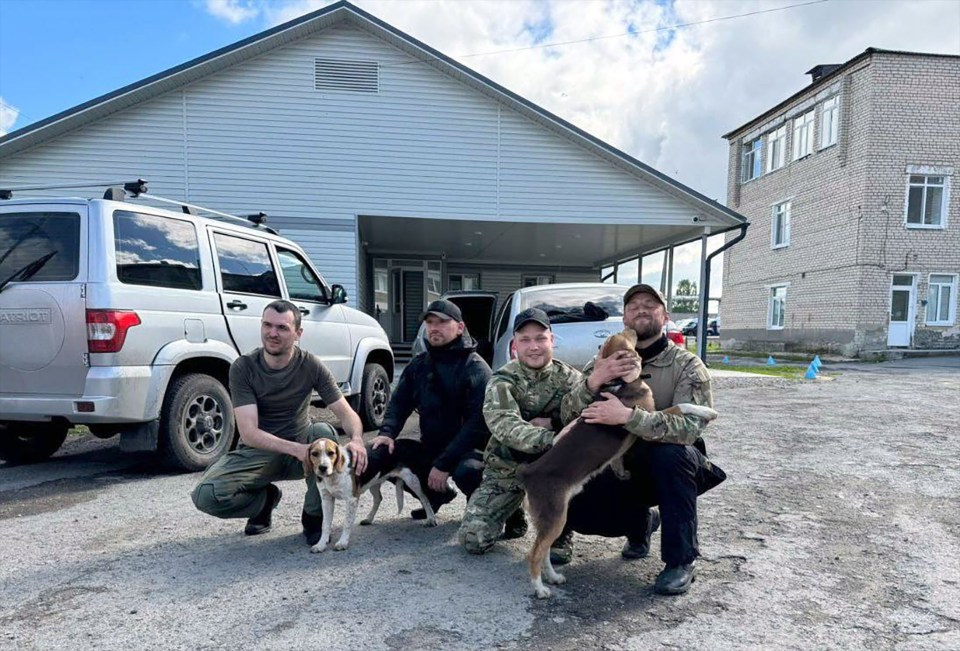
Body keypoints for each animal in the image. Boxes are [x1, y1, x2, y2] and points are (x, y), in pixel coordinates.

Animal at [516, 328, 712, 600]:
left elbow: (619, 457)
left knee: (543, 551)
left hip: (548, 519)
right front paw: (708, 412)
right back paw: (540, 588)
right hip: (554, 516)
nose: (632, 329)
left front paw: (621, 471)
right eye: (624, 335)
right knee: (534, 555)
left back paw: (553, 577)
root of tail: (529, 472)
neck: (619, 383)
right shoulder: (650, 416)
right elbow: (681, 406)